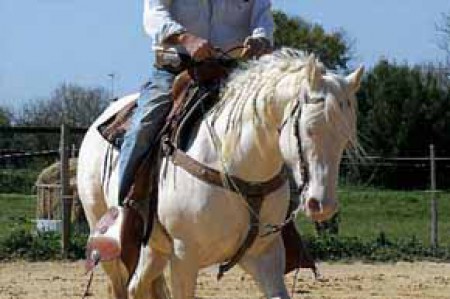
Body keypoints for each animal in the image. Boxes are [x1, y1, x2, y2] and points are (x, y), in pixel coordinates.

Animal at [76, 49, 362, 299]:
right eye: (309, 129)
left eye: (345, 138)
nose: (322, 205)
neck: (236, 167)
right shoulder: (184, 258)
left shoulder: (265, 255)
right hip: (111, 245)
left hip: (155, 250)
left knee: (138, 287)